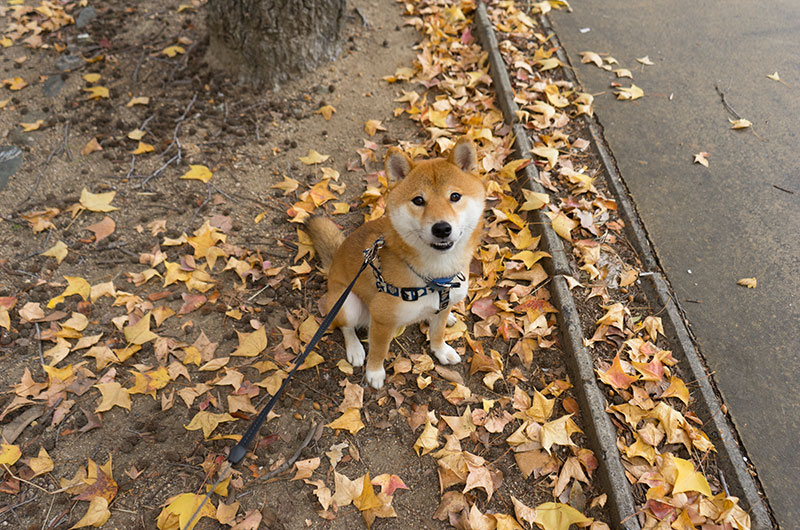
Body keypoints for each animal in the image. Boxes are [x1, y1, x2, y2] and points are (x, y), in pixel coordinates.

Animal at [304, 136, 482, 388]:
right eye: (418, 200)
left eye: (455, 196)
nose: (441, 228)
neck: (435, 275)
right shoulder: (382, 319)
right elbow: (379, 350)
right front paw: (374, 372)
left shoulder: (446, 299)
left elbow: (437, 334)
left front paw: (441, 350)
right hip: (348, 303)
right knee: (346, 327)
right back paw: (355, 349)